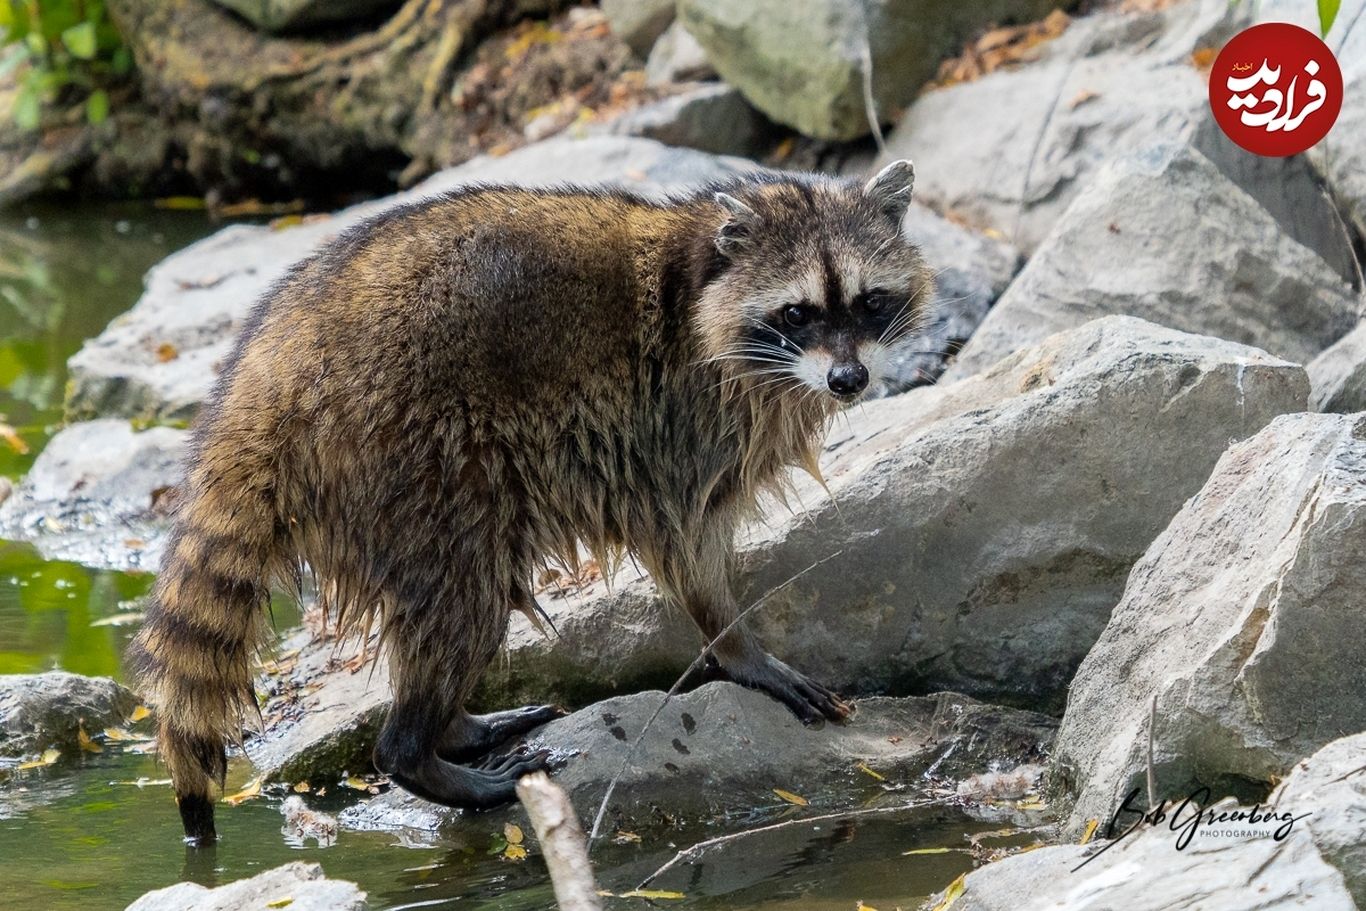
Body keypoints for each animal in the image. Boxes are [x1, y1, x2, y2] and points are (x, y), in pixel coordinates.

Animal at [128, 155, 934, 841]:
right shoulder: (674, 423)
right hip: (403, 454)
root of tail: (264, 380)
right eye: (798, 313)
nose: (849, 380)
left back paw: (451, 722)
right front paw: (737, 647)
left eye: (870, 301)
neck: (700, 268)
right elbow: (685, 545)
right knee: (465, 598)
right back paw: (416, 749)